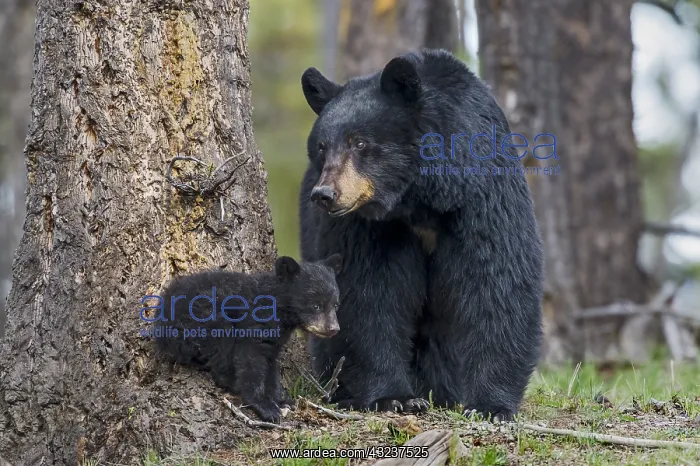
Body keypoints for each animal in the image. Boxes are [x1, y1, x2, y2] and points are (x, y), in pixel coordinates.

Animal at [154, 255, 342, 422]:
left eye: (335, 304)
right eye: (316, 305)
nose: (333, 329)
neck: (277, 307)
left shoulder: (276, 337)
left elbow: (271, 363)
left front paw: (281, 399)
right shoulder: (253, 325)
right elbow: (251, 361)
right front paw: (265, 407)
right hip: (203, 322)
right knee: (221, 347)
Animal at [298, 49, 544, 421]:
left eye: (360, 142)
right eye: (322, 147)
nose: (325, 195)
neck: (418, 200)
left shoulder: (480, 196)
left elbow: (496, 282)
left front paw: (489, 404)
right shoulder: (369, 227)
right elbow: (369, 293)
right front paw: (393, 397)